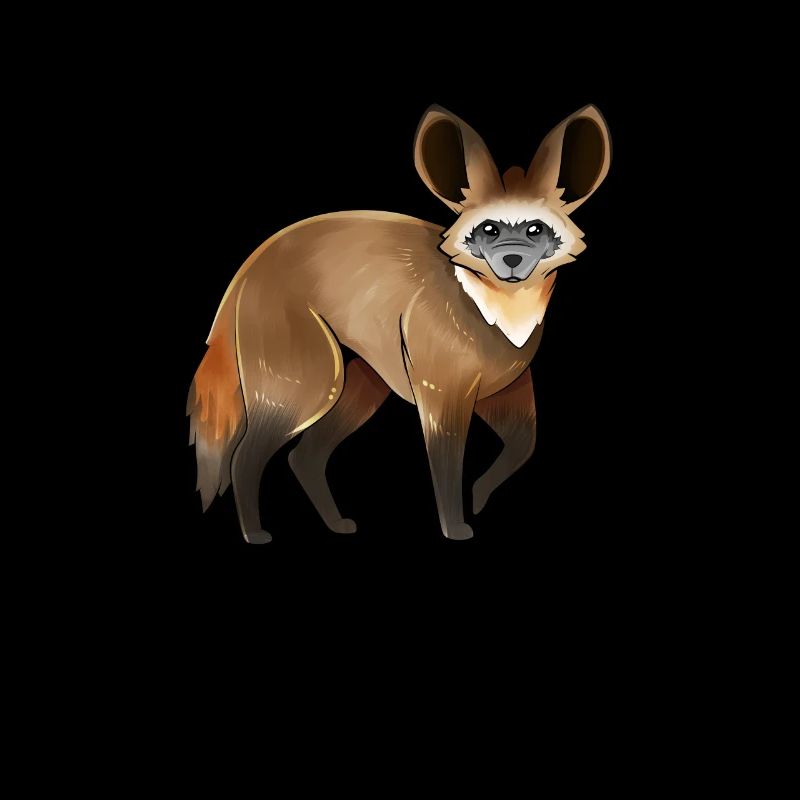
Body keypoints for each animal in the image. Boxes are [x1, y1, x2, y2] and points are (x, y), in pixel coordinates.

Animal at [188, 104, 611, 543]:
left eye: (535, 229)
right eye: (490, 229)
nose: (512, 259)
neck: (500, 315)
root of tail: (242, 276)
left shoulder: (505, 389)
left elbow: (522, 447)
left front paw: (479, 497)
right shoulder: (441, 392)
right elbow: (447, 465)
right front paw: (456, 527)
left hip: (364, 379)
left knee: (304, 457)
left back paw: (337, 525)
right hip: (313, 382)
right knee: (244, 455)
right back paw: (255, 534)